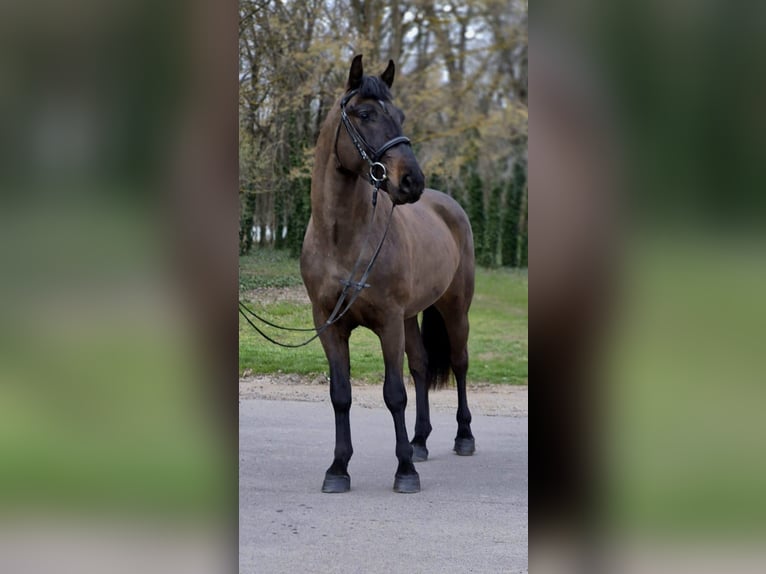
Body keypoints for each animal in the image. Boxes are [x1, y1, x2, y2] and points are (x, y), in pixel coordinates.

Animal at [300, 54, 476, 493]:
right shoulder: (329, 325)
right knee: (422, 365)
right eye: (365, 114)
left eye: (400, 115)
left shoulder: (388, 322)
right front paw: (338, 468)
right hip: (412, 317)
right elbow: (341, 394)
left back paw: (463, 437)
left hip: (454, 309)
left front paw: (405, 472)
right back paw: (419, 442)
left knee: (460, 363)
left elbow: (394, 393)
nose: (411, 181)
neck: (343, 238)